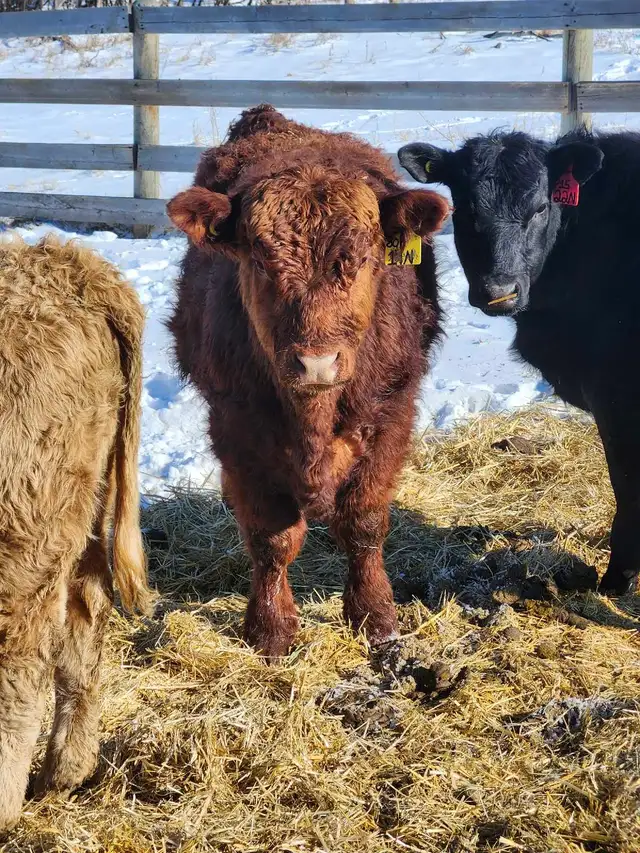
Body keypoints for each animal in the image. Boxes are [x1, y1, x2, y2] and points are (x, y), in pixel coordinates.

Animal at [167, 105, 450, 659]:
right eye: (259, 258)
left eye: (363, 257)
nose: (316, 363)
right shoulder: (235, 428)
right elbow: (272, 538)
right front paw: (270, 629)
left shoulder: (391, 415)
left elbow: (364, 524)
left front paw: (375, 617)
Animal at [398, 128, 640, 596]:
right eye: (466, 208)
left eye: (541, 207)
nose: (499, 291)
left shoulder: (616, 397)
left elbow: (626, 486)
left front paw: (615, 581)